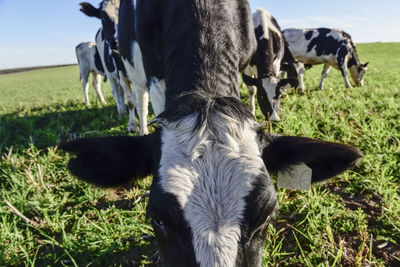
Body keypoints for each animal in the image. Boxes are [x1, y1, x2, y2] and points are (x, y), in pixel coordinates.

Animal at [79, 1, 139, 133]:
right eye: (103, 17)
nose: (118, 41)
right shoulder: (121, 72)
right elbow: (130, 100)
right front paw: (132, 125)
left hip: (96, 72)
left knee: (97, 85)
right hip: (89, 70)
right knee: (90, 86)